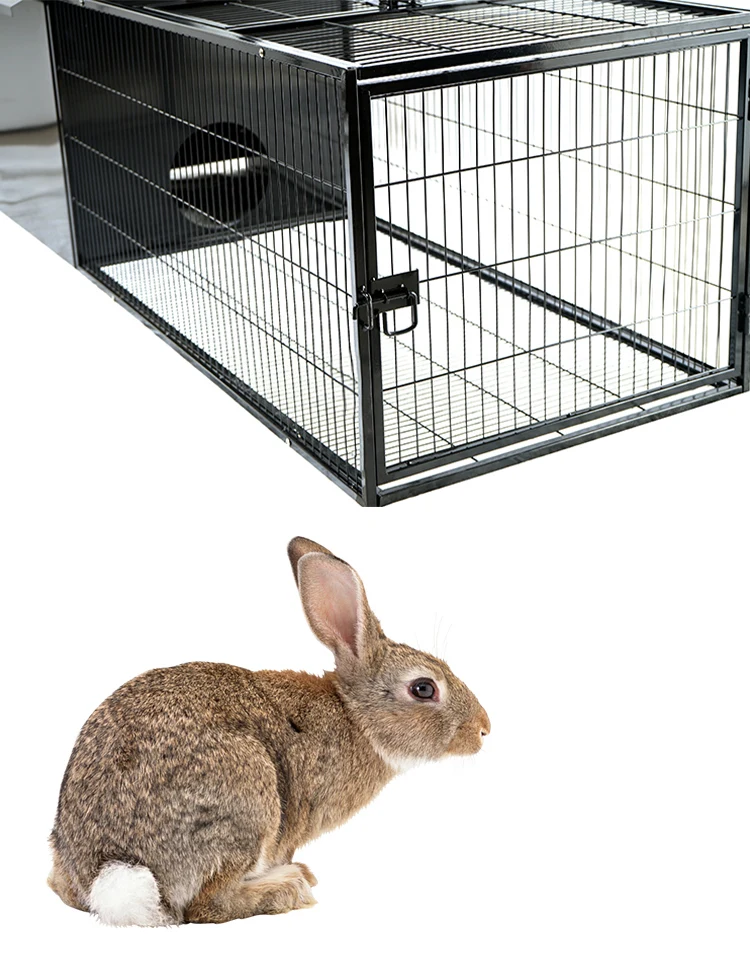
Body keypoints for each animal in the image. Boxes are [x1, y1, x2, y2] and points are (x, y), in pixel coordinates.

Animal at [48, 537, 491, 926]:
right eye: (424, 688)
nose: (484, 728)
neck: (354, 715)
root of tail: (111, 871)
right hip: (248, 797)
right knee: (206, 906)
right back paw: (288, 888)